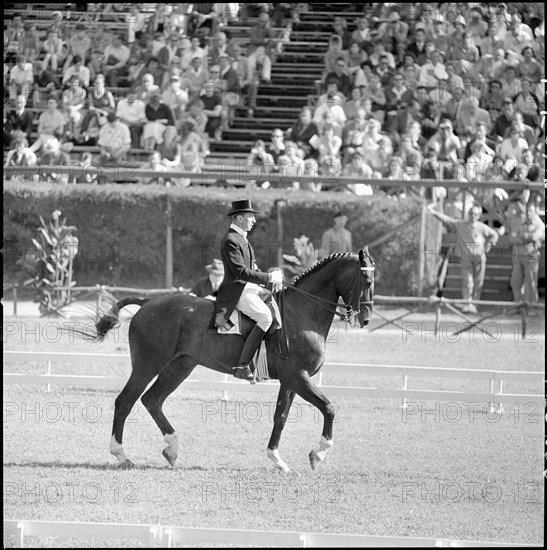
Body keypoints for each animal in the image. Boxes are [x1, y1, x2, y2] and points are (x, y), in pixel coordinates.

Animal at [85, 250, 374, 474]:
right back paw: (122, 455)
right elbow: (330, 407)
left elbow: (280, 417)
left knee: (152, 400)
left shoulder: (291, 380)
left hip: (180, 366)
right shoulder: (298, 377)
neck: (301, 313)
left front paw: (277, 460)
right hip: (148, 364)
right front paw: (318, 454)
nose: (366, 318)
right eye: (366, 279)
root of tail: (148, 302)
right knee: (125, 401)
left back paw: (172, 449)